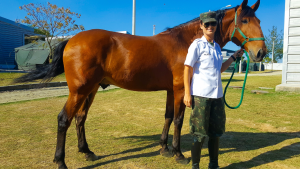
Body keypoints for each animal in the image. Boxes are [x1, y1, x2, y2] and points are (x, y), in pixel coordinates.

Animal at [15, 0, 266, 168]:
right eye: (245, 20)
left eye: (259, 20)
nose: (260, 52)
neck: (185, 42)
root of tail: (71, 40)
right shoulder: (180, 90)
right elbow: (178, 120)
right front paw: (178, 154)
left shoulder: (170, 90)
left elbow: (167, 118)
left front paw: (164, 149)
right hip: (79, 90)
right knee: (64, 119)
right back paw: (61, 161)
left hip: (90, 90)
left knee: (80, 118)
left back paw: (86, 151)